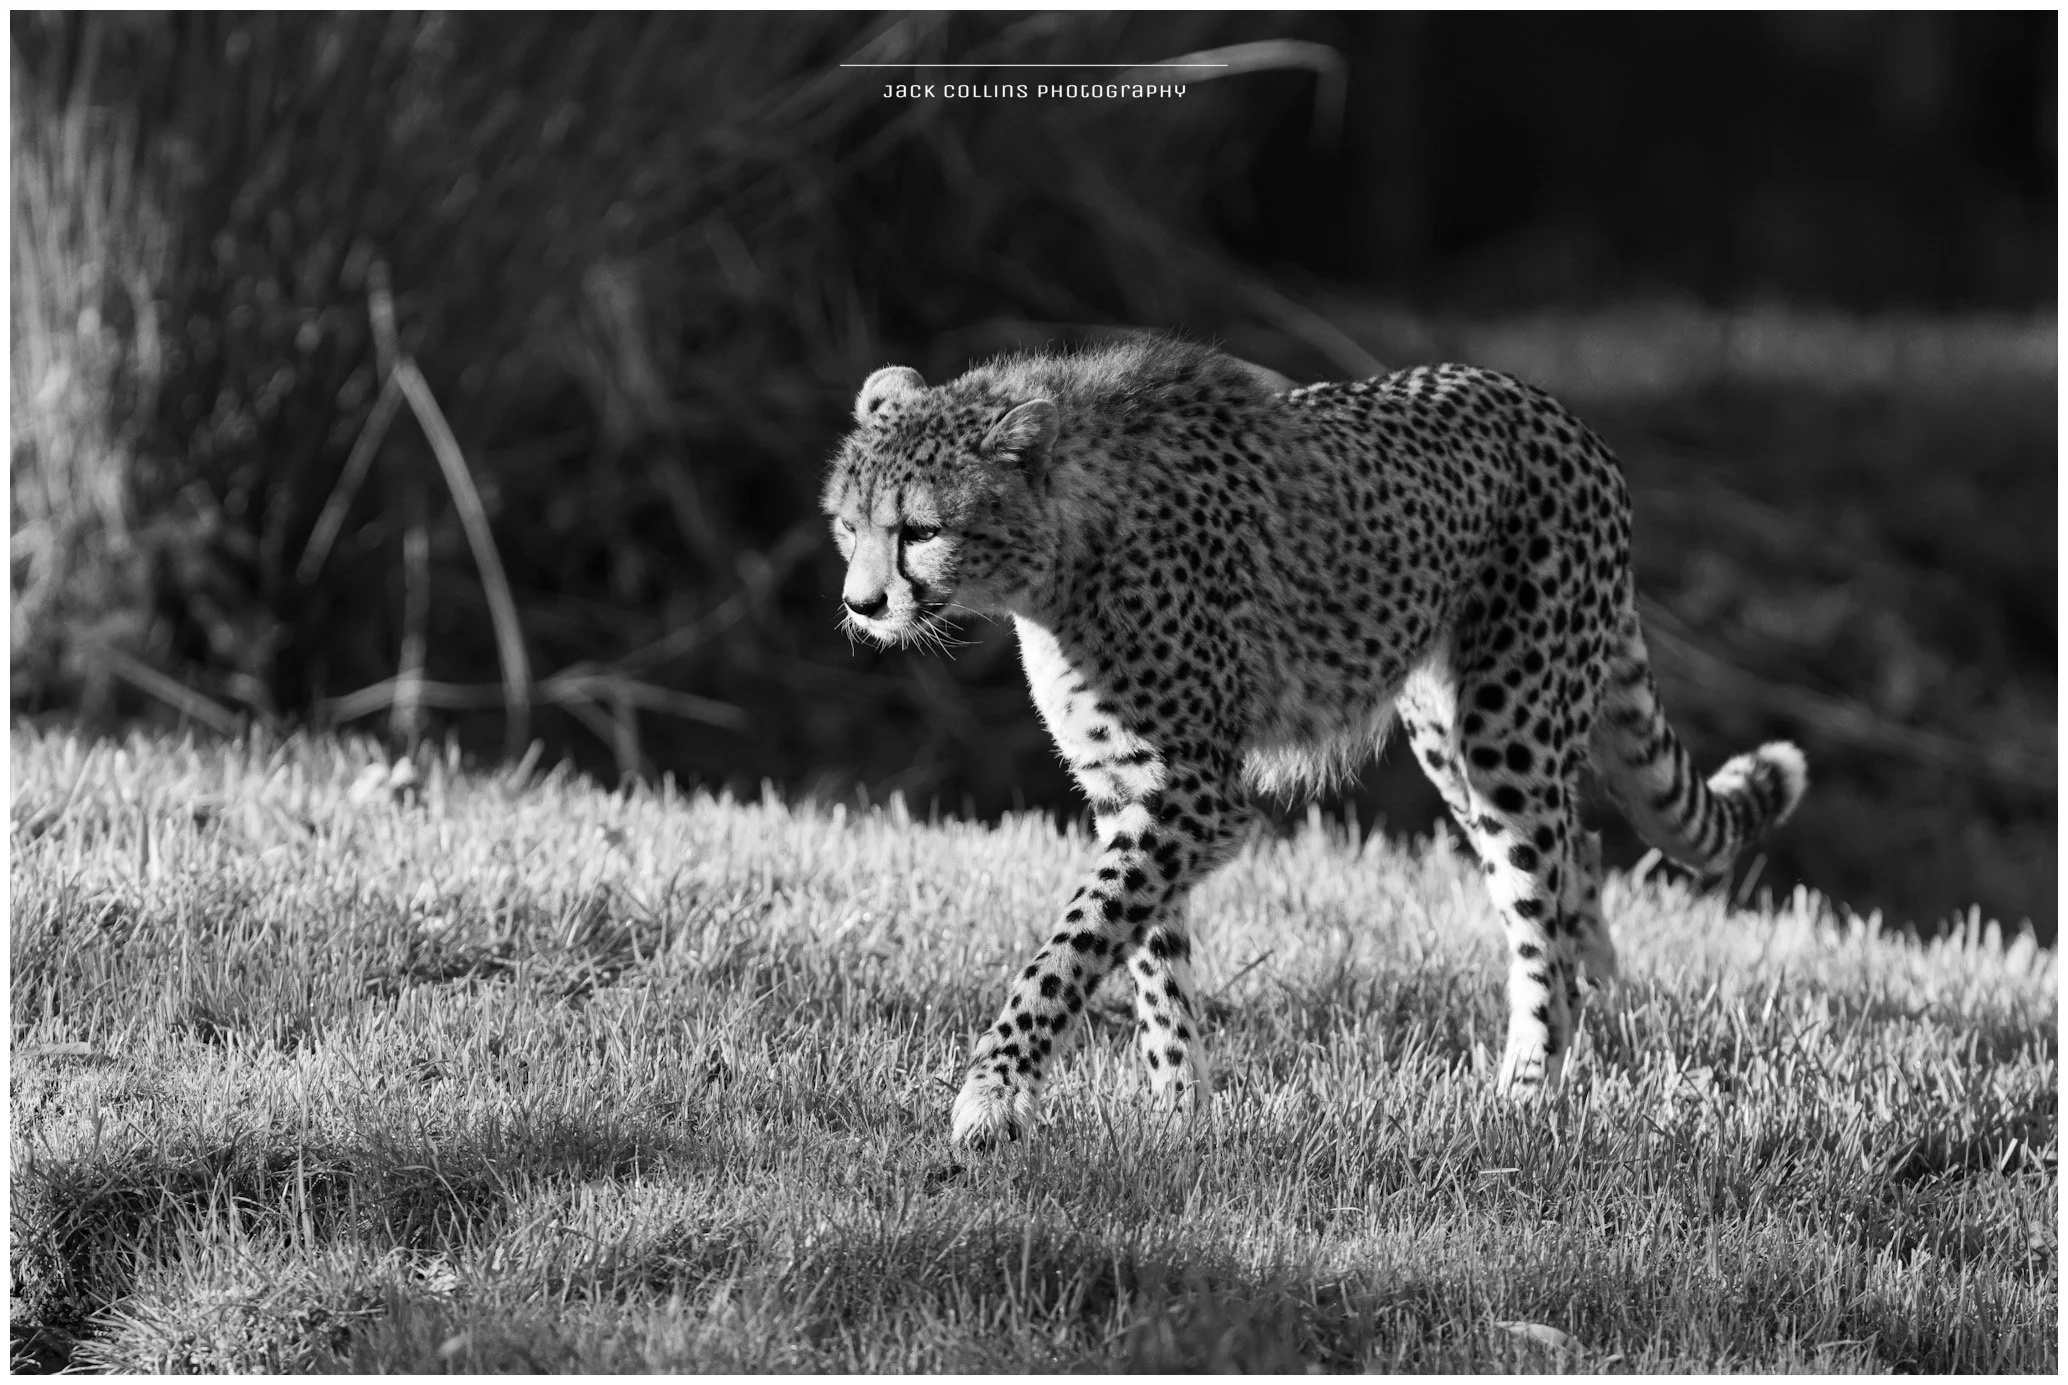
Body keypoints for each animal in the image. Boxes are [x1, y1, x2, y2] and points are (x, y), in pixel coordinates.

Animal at [821, 335, 1806, 1150]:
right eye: (847, 524)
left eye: (921, 530)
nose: (862, 605)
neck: (1062, 554)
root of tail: (1561, 414)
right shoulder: (1128, 786)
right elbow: (1149, 954)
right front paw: (1181, 1111)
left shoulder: (1192, 791)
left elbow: (1074, 942)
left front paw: (993, 1092)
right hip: (1450, 734)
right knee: (1578, 854)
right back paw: (1594, 990)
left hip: (1508, 732)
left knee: (1543, 908)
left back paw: (1525, 1095)